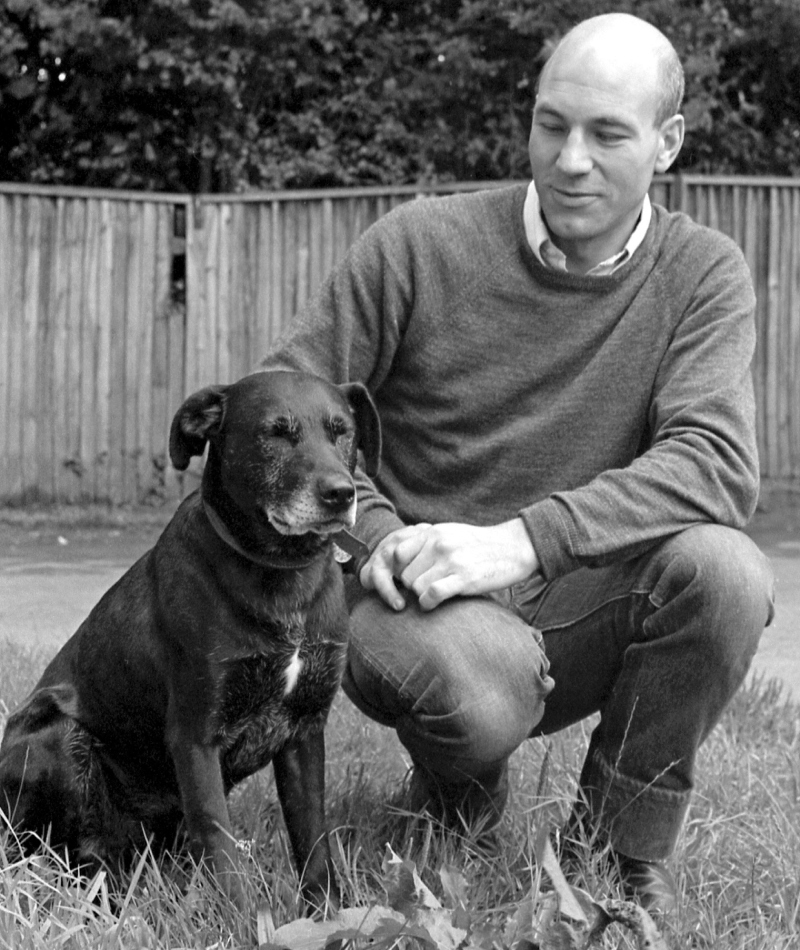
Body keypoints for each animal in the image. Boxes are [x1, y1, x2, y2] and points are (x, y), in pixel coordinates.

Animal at [0, 370, 380, 908]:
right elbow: (221, 845)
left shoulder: (304, 733)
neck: (282, 578)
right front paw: (244, 920)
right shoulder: (195, 736)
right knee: (69, 857)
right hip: (57, 738)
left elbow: (313, 839)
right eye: (274, 432)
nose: (340, 494)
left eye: (341, 431)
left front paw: (327, 913)